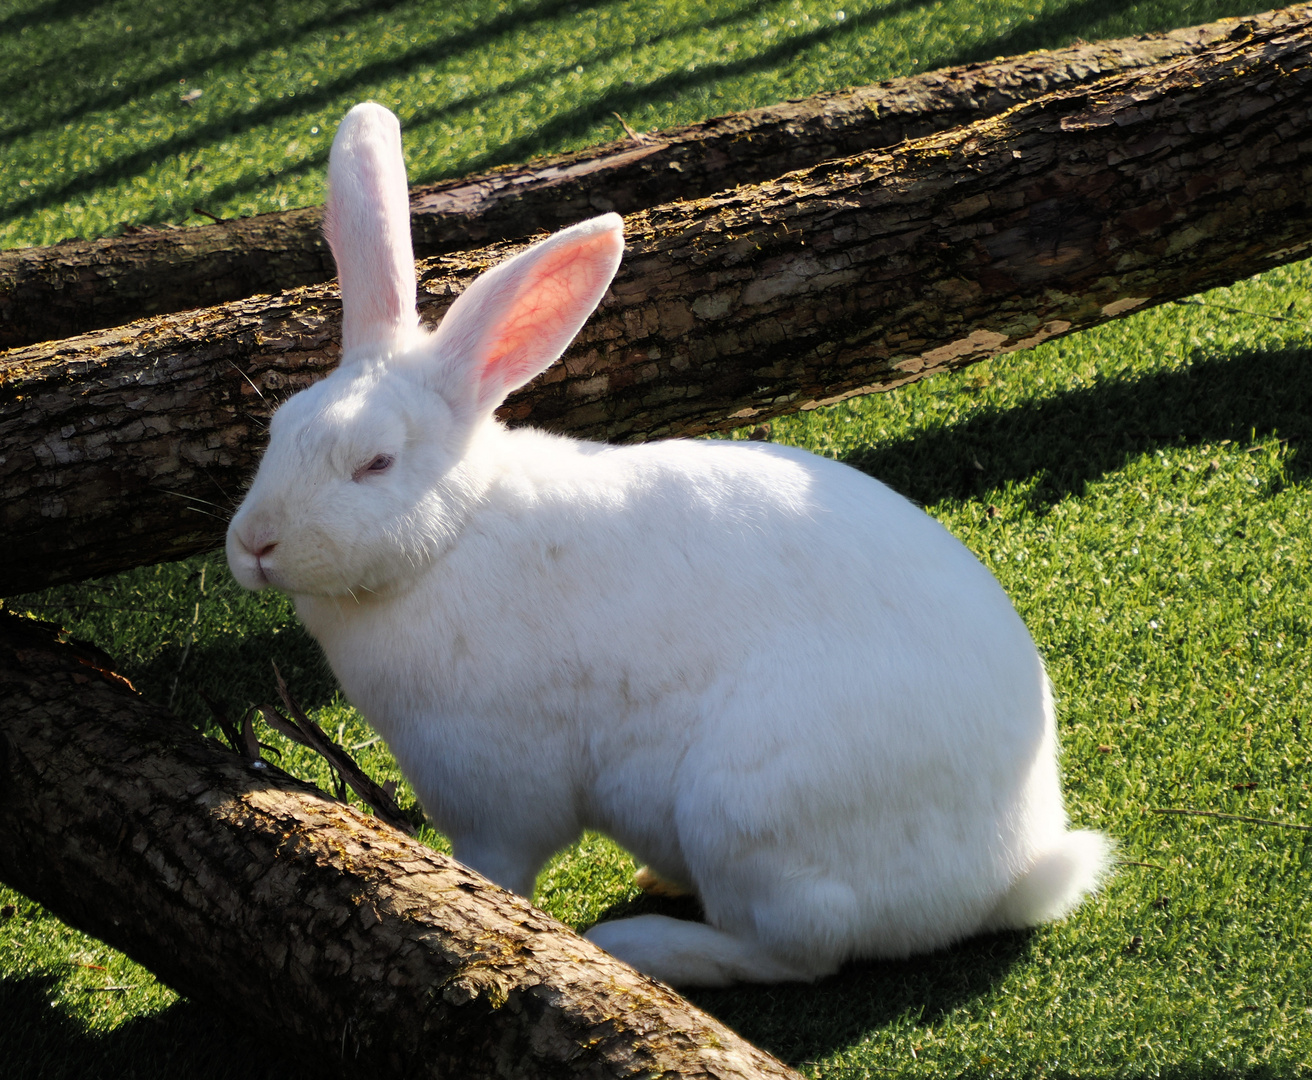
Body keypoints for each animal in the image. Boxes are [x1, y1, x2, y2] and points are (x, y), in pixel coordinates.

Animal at [228, 101, 1107, 986]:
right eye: (278, 428)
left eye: (374, 464)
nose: (254, 546)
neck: (454, 534)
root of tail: (1015, 867)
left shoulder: (497, 793)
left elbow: (497, 873)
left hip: (745, 810)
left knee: (801, 946)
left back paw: (640, 943)